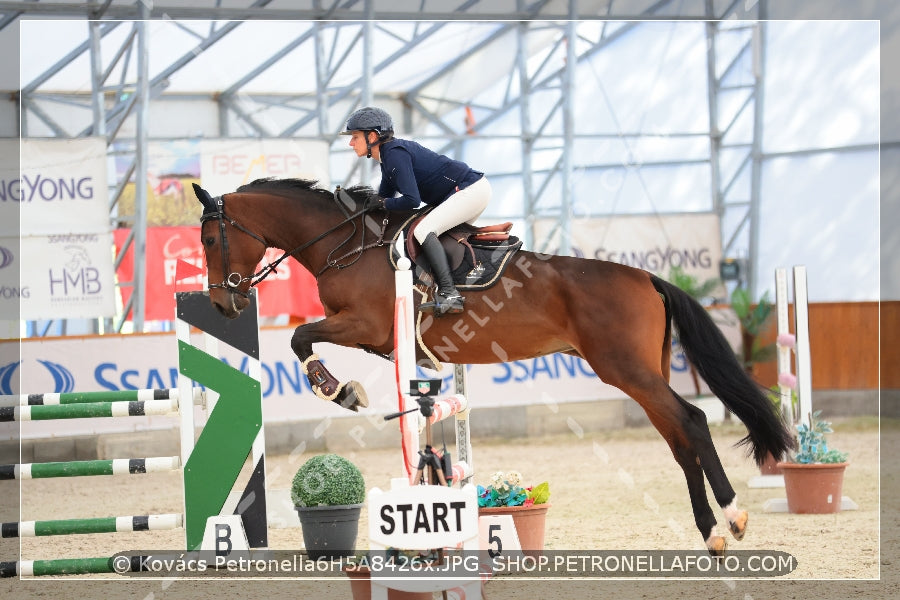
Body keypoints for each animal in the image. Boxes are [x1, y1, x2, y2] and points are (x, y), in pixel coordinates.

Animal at [193, 176, 792, 556]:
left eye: (209, 237)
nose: (223, 305)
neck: (346, 243)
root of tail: (646, 277)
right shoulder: (378, 339)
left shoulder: (363, 323)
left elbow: (300, 337)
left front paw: (339, 390)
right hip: (641, 375)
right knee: (678, 437)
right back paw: (712, 532)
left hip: (627, 370)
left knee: (692, 421)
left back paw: (733, 516)